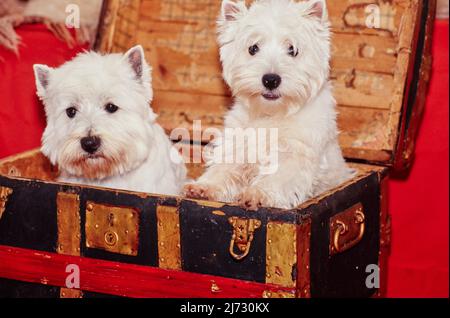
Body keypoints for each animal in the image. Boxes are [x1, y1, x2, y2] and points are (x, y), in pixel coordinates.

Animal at [185, 0, 354, 211]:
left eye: (292, 50)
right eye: (253, 48)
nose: (271, 80)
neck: (271, 114)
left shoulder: (294, 155)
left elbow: (276, 178)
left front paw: (256, 194)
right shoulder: (238, 147)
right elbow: (223, 169)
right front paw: (204, 187)